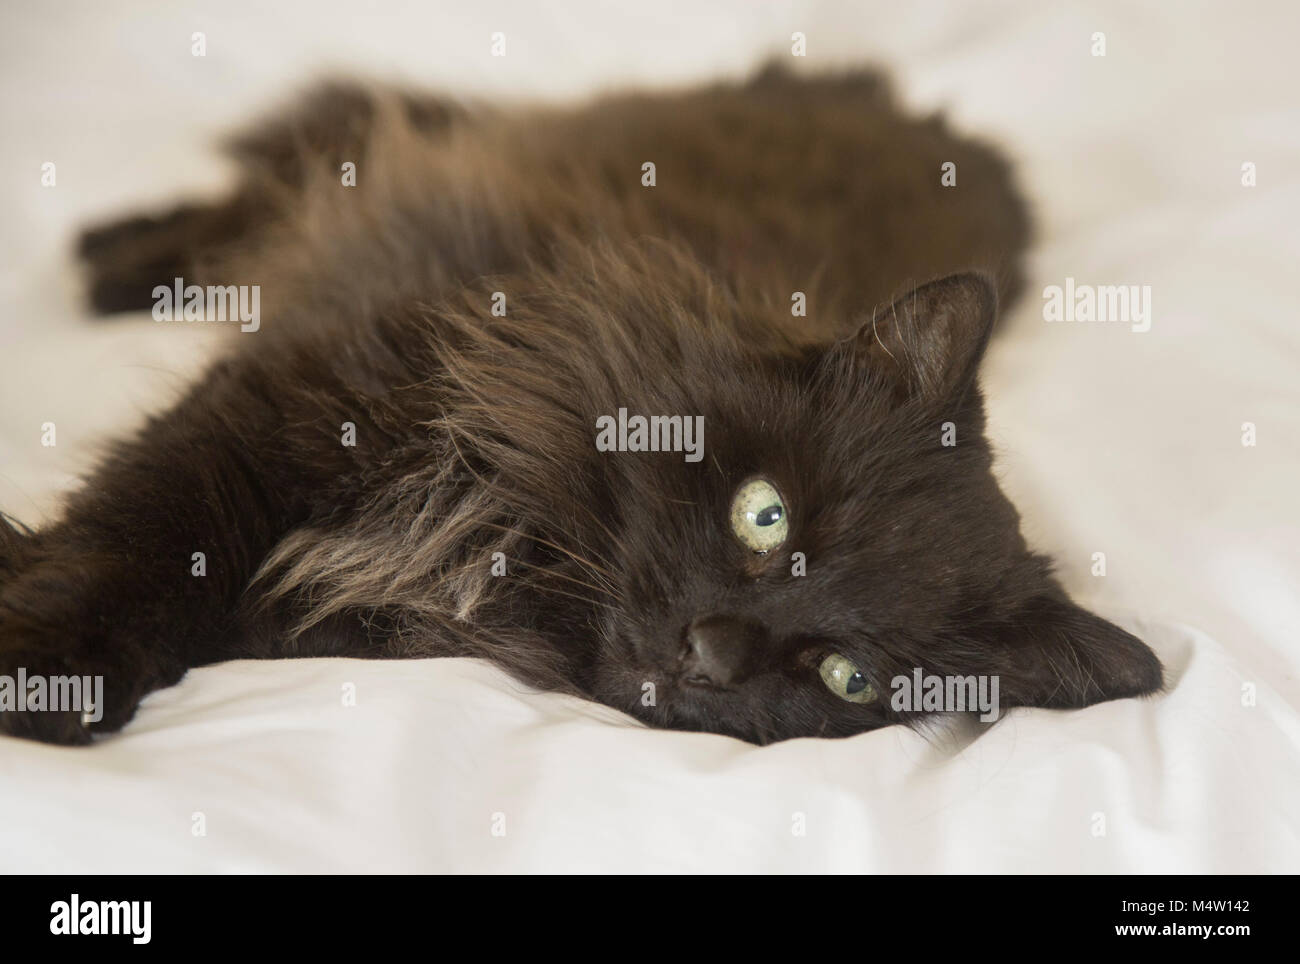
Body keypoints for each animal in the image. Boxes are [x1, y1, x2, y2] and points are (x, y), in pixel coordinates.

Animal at [0, 65, 1159, 748]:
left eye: (846, 675)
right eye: (764, 515)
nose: (711, 652)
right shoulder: (294, 396)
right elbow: (139, 540)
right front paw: (49, 668)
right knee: (302, 173)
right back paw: (115, 260)